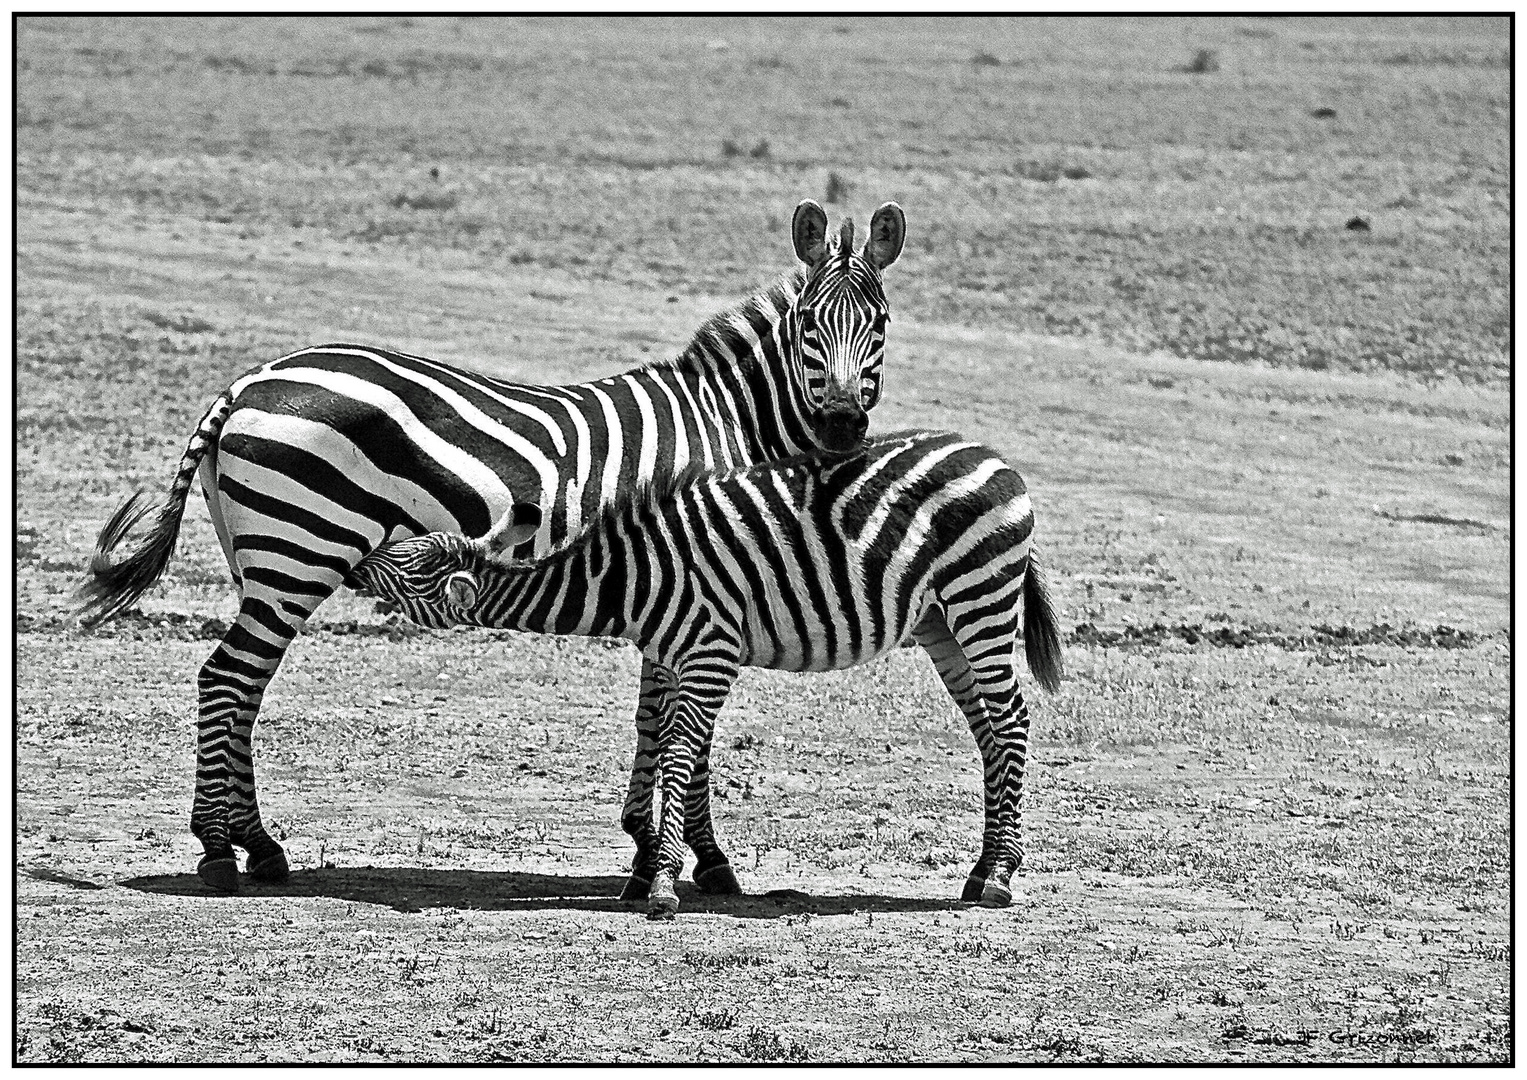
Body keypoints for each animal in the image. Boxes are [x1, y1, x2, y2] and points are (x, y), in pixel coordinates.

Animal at [77, 198, 903, 892]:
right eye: (808, 326)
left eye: (881, 324)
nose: (841, 425)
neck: (723, 421)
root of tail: (249, 382)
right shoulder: (701, 579)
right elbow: (683, 729)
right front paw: (704, 857)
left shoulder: (671, 593)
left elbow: (653, 716)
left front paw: (647, 846)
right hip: (299, 553)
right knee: (227, 679)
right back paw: (224, 848)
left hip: (266, 561)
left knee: (241, 686)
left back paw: (254, 844)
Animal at [349, 427, 1062, 916]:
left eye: (407, 568)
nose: (355, 566)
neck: (630, 580)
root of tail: (993, 456)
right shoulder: (672, 657)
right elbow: (665, 745)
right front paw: (656, 871)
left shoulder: (710, 651)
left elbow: (679, 755)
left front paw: (663, 883)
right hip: (941, 622)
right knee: (988, 731)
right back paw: (983, 870)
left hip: (981, 599)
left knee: (1012, 721)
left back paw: (1000, 877)